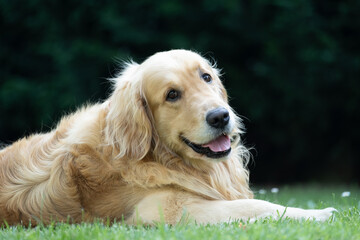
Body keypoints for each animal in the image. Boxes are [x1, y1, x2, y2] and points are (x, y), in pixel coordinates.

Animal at [0, 49, 334, 226]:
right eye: (172, 94)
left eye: (206, 77)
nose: (220, 116)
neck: (160, 158)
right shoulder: (165, 209)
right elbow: (260, 206)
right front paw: (318, 213)